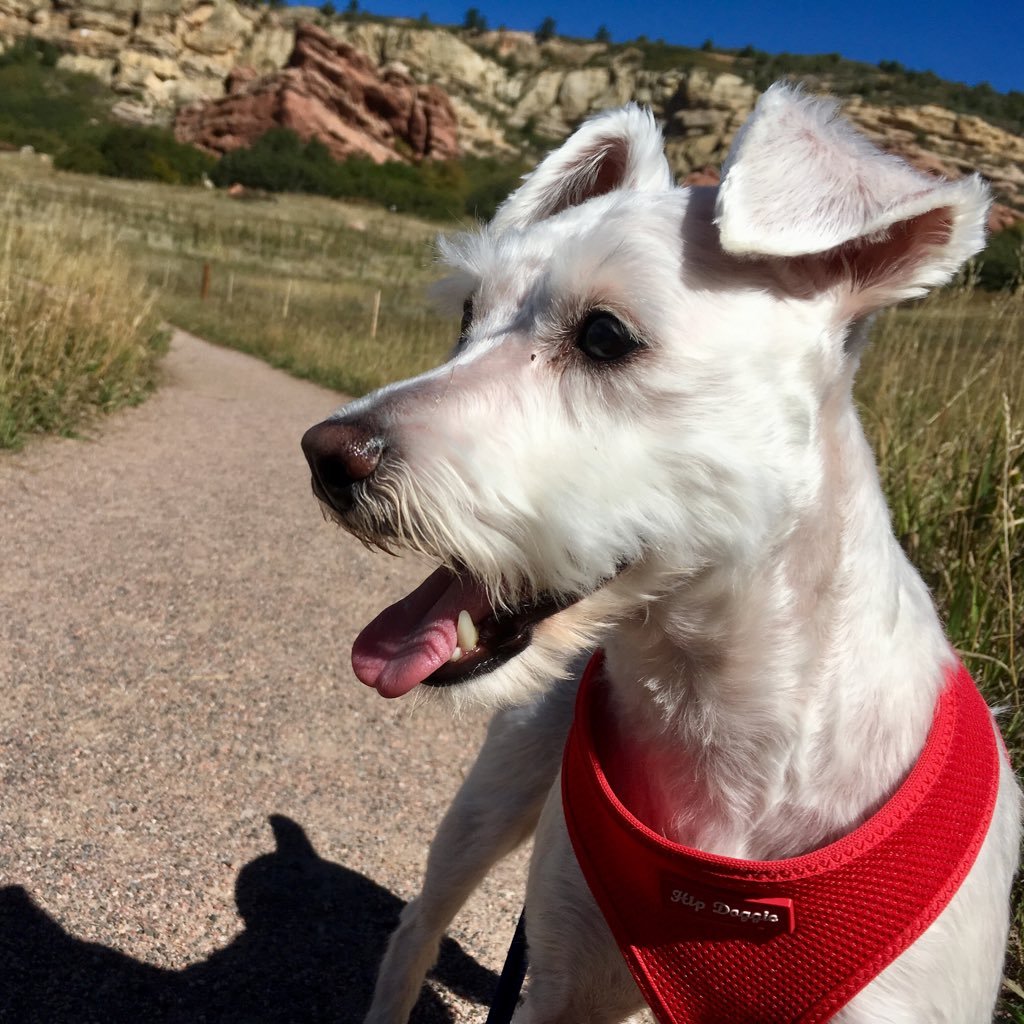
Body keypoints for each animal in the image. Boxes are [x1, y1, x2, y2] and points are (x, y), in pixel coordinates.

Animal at [299, 83, 1019, 1019]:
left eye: (605, 335)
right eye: (467, 314)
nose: (325, 455)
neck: (716, 715)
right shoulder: (564, 985)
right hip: (492, 799)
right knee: (418, 924)